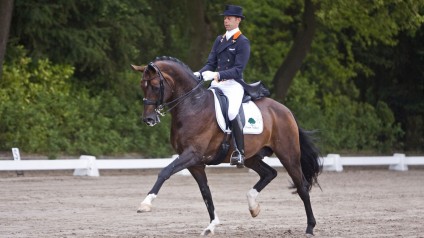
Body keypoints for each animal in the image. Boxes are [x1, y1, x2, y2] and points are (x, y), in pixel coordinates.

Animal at [131, 56, 320, 236]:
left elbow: (165, 171)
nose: (148, 119)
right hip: (251, 157)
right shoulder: (195, 163)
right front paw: (211, 226)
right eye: (142, 85)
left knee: (302, 186)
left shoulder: (192, 154)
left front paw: (145, 203)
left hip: (288, 154)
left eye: (156, 86)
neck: (192, 105)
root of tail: (285, 110)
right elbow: (205, 193)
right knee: (269, 173)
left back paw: (310, 227)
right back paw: (253, 206)